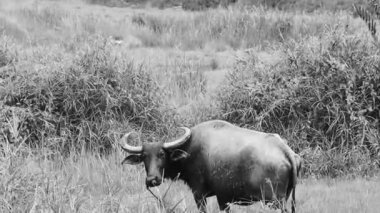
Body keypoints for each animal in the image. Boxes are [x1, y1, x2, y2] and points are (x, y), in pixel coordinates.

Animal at [120, 120, 302, 212]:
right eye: (144, 157)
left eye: (161, 154)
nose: (152, 180)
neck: (190, 150)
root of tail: (286, 150)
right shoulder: (224, 199)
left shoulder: (199, 195)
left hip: (274, 201)